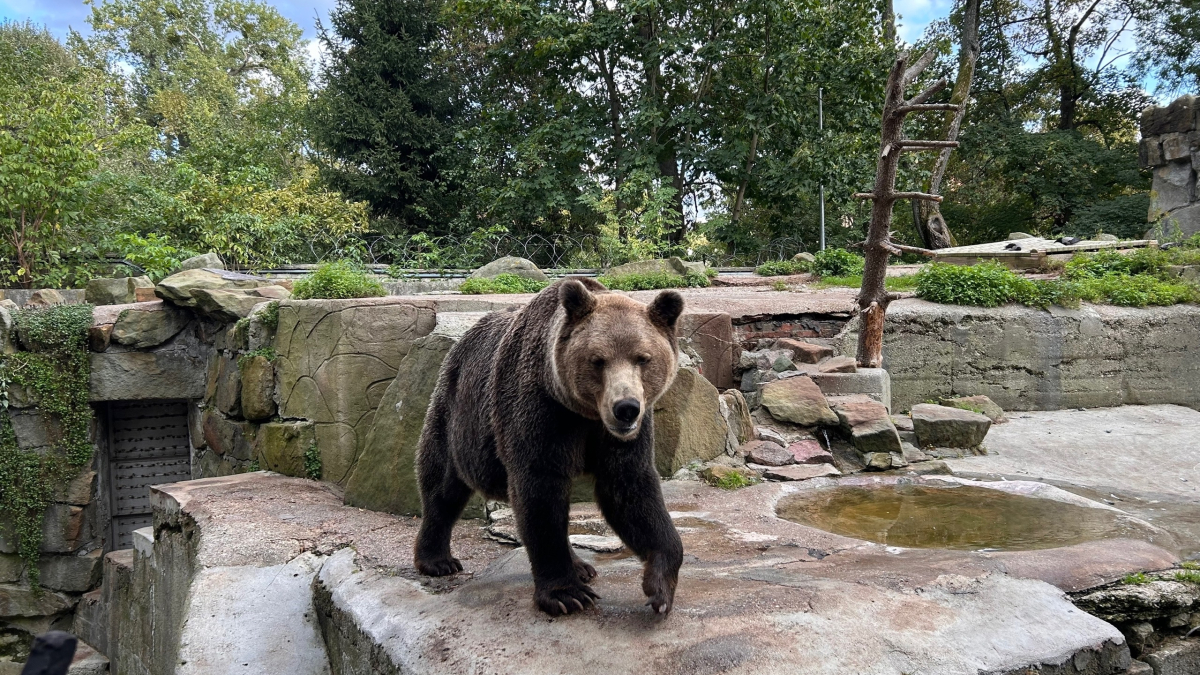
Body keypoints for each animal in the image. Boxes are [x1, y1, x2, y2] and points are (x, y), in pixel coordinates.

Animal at [413, 277, 685, 616]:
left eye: (643, 358)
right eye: (598, 360)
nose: (626, 408)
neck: (584, 413)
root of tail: (460, 342)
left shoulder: (618, 437)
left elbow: (631, 490)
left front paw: (660, 588)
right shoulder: (541, 412)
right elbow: (540, 490)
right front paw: (566, 594)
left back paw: (581, 565)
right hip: (456, 414)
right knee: (442, 484)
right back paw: (437, 561)